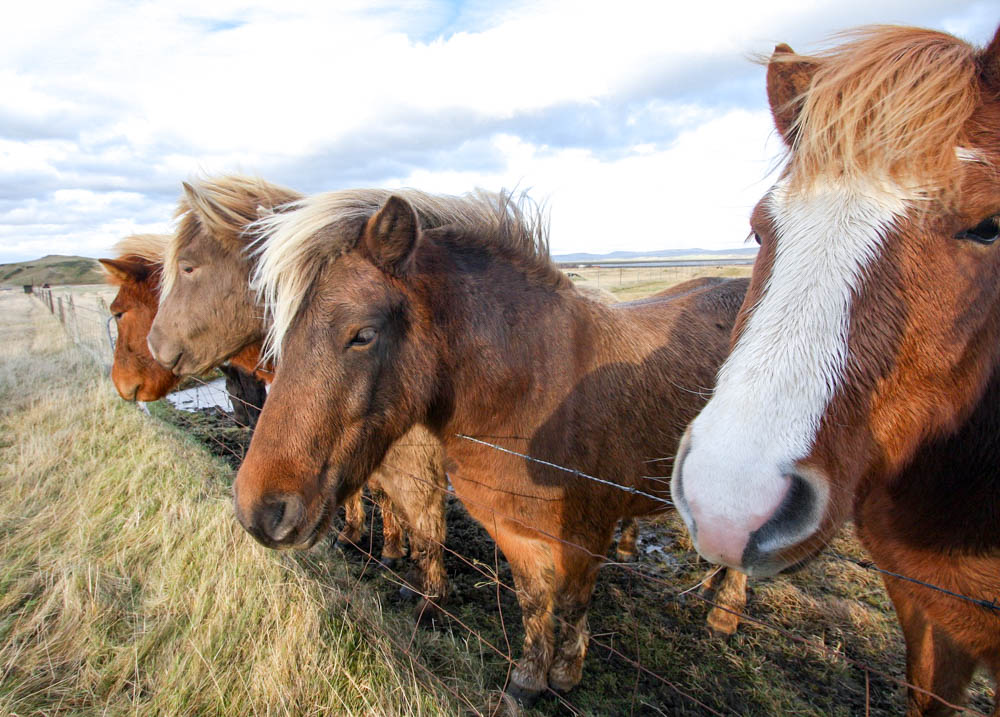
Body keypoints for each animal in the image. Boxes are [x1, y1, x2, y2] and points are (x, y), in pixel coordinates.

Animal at [145, 175, 458, 616]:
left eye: (187, 266)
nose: (155, 344)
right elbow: (379, 496)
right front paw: (378, 546)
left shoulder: (413, 457)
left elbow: (426, 518)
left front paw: (427, 595)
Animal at [236, 189, 752, 700]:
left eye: (362, 334)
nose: (260, 512)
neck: (536, 393)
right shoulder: (512, 530)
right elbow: (534, 601)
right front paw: (528, 679)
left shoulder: (585, 538)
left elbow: (571, 605)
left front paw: (565, 674)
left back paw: (723, 616)